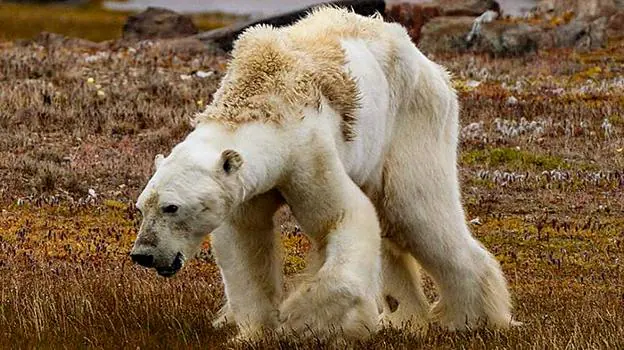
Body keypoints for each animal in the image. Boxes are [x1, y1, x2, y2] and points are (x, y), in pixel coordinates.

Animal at [129, 6, 516, 342]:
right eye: (142, 206)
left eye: (172, 207)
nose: (143, 254)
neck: (262, 98)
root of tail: (431, 65)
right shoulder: (246, 187)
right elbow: (244, 242)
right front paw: (253, 332)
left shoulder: (307, 152)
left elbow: (344, 217)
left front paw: (300, 319)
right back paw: (404, 318)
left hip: (411, 120)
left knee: (416, 212)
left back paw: (469, 319)